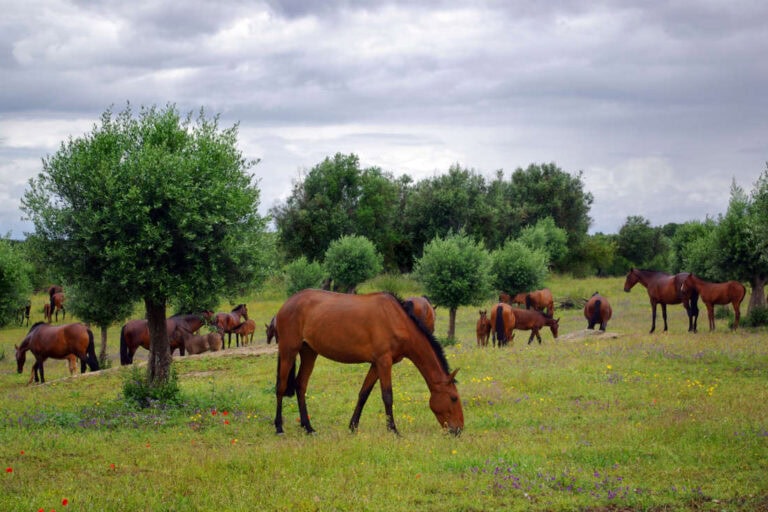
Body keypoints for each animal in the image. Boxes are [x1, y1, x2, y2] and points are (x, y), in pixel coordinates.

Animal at [274, 290, 463, 436]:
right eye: (454, 398)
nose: (459, 430)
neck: (395, 319)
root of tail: (286, 305)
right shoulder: (384, 361)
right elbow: (387, 396)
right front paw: (393, 430)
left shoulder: (376, 364)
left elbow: (363, 394)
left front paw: (353, 427)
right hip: (288, 351)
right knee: (281, 387)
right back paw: (279, 427)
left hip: (309, 352)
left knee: (301, 385)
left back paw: (308, 427)